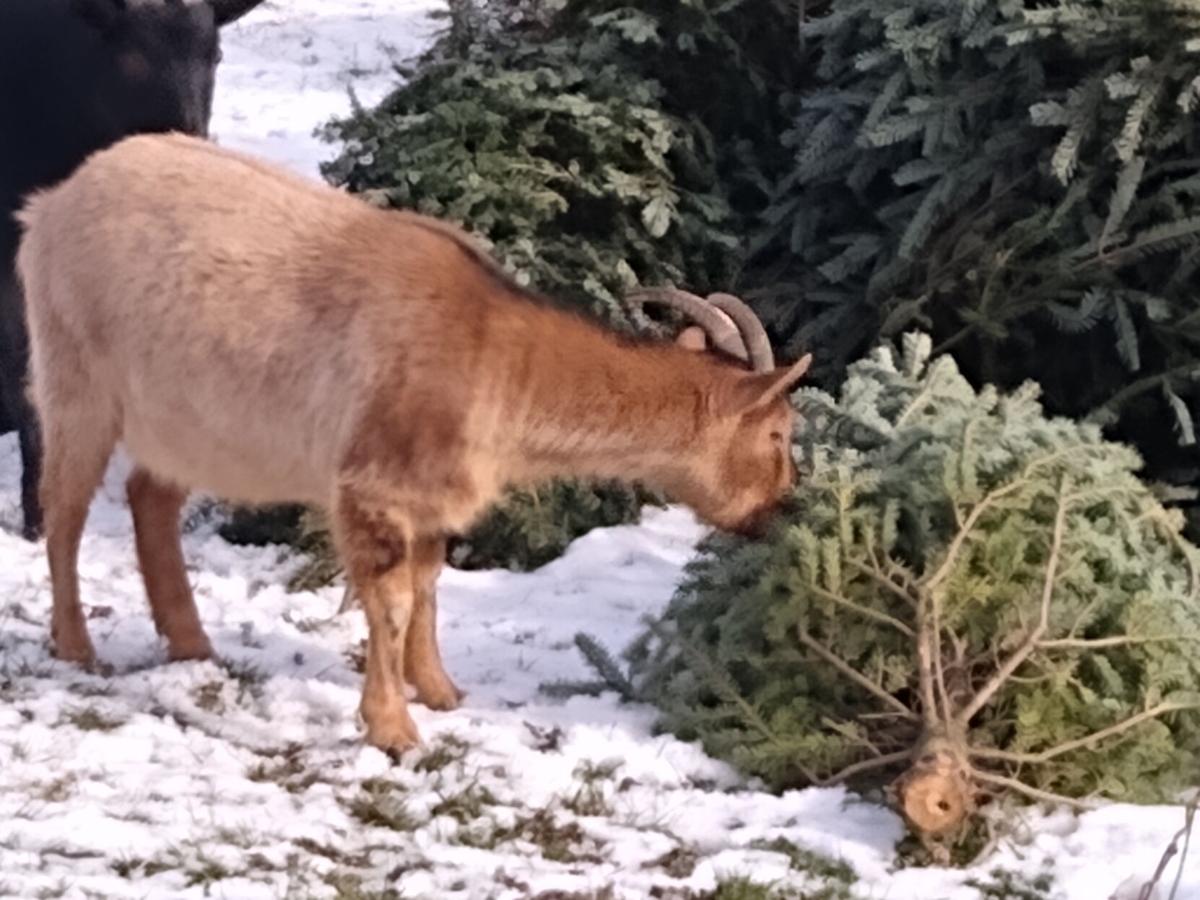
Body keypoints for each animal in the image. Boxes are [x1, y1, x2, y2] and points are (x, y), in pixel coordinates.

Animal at [16, 133, 811, 753]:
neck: (496, 352)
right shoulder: (371, 485)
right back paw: (78, 648)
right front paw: (392, 728)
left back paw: (191, 643)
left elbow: (429, 585)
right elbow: (392, 600)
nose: (780, 510)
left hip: (186, 419)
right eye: (778, 432)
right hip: (76, 382)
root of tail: (49, 205)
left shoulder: (433, 495)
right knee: (63, 511)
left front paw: (440, 690)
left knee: (150, 495)